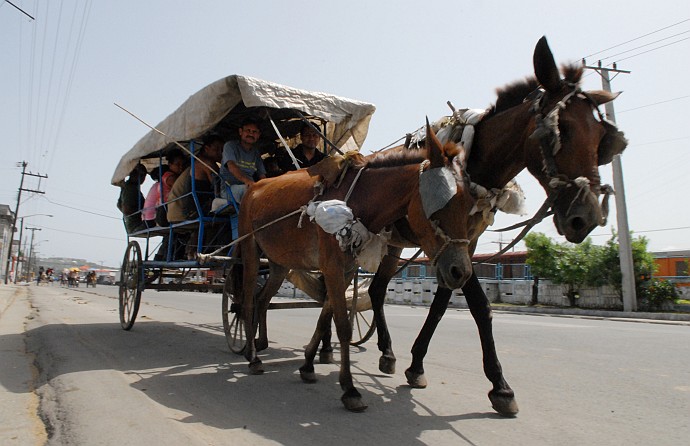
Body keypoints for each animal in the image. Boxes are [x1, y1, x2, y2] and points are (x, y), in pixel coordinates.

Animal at [235, 125, 472, 412]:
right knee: (247, 300)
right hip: (249, 251)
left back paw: (257, 345)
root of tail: (253, 187)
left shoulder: (346, 270)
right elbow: (343, 326)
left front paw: (308, 365)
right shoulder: (333, 266)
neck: (360, 199)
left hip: (279, 263)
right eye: (439, 208)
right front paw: (349, 389)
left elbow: (325, 316)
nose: (461, 272)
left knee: (262, 299)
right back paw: (253, 357)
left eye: (468, 206)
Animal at [362, 36, 628, 416]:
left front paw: (417, 365)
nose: (586, 218)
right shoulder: (440, 239)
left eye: (601, 140)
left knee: (376, 290)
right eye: (559, 132)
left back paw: (386, 352)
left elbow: (442, 304)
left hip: (395, 243)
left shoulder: (462, 243)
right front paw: (500, 386)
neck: (472, 166)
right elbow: (479, 306)